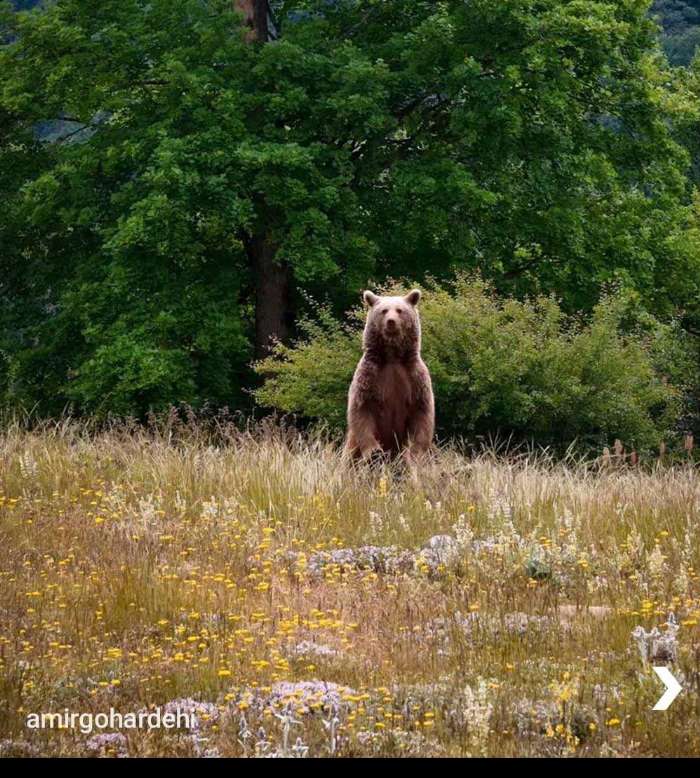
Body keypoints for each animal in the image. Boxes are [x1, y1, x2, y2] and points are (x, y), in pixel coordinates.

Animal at [344, 290, 434, 460]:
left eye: (399, 310)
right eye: (384, 311)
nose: (391, 321)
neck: (392, 356)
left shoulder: (415, 377)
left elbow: (422, 412)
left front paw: (416, 452)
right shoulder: (369, 376)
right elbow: (361, 409)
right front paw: (374, 451)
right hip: (352, 448)